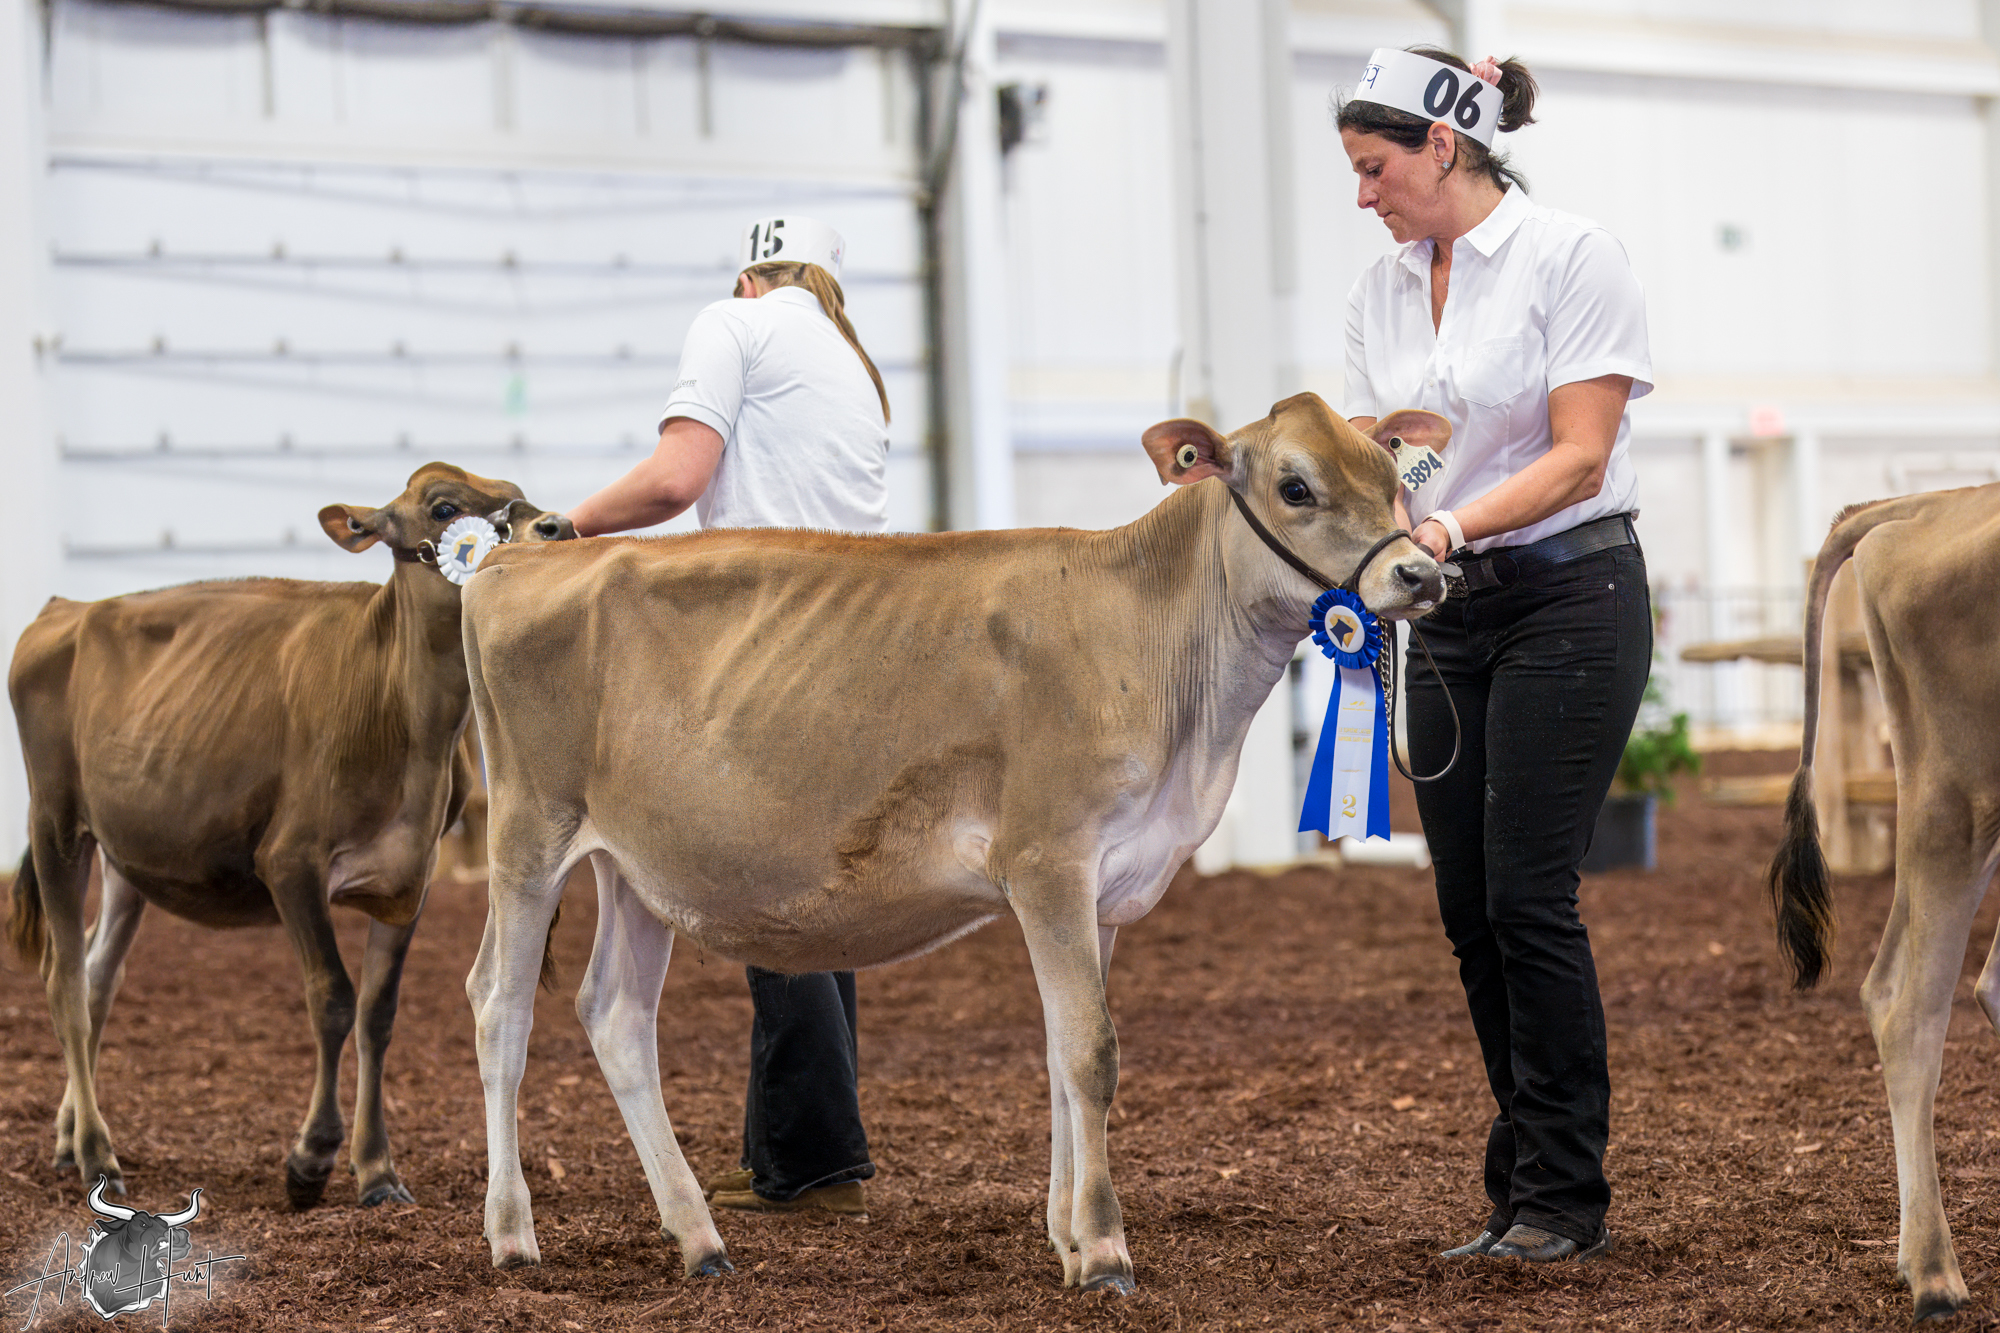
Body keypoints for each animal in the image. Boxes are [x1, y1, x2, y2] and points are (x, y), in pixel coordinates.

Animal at [6, 463, 573, 1210]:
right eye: (444, 508)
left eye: (514, 489)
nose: (559, 527)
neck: (402, 717)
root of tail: (66, 606)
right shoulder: (291, 863)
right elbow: (331, 997)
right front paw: (312, 1157)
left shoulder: (409, 877)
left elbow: (378, 1013)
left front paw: (377, 1169)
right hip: (56, 823)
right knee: (64, 980)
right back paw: (99, 1153)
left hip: (127, 854)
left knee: (99, 979)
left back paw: (71, 1138)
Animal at [458, 392, 1445, 1291]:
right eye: (1294, 486)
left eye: (1394, 476)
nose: (1423, 575)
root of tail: (516, 556)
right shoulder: (1050, 861)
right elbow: (1091, 1052)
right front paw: (1106, 1251)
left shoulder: (1107, 882)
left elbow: (1060, 1051)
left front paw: (1067, 1240)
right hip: (530, 832)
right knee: (501, 1007)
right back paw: (511, 1233)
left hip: (639, 862)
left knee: (616, 1013)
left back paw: (699, 1238)